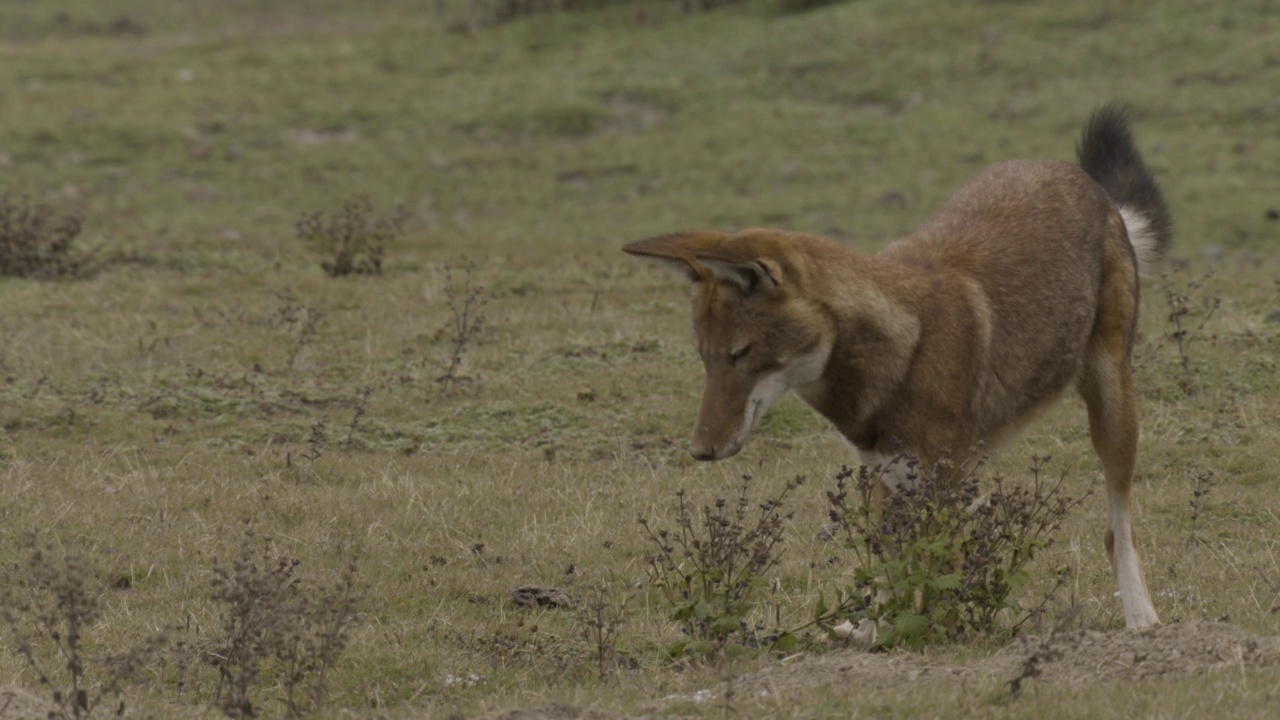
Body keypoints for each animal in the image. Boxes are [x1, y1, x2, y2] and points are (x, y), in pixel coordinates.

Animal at [624, 103, 1172, 625]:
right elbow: (888, 582)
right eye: (706, 358)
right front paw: (869, 636)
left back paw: (1141, 619)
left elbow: (938, 583)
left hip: (1112, 412)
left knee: (1116, 532)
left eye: (741, 354)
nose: (700, 451)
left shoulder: (942, 485)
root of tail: (1086, 184)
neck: (902, 352)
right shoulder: (889, 478)